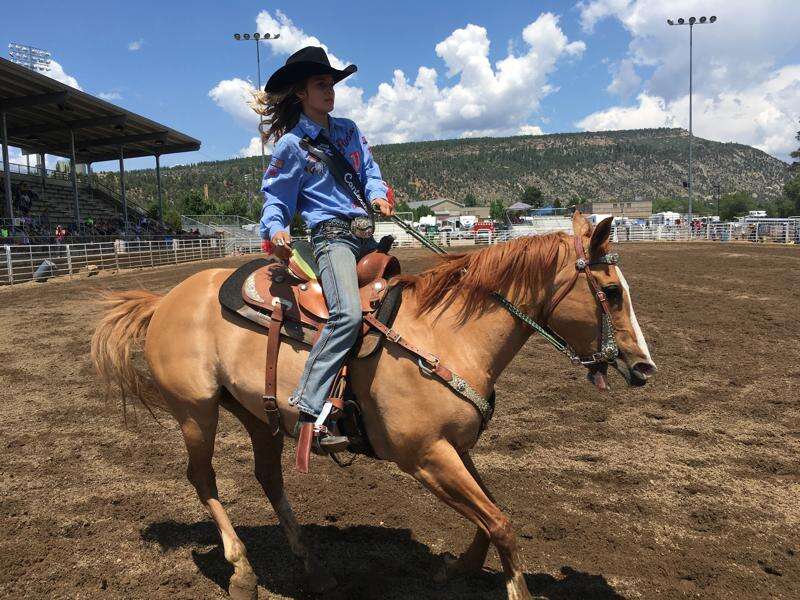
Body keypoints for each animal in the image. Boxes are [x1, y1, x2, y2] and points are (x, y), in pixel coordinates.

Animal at [92, 212, 656, 600]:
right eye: (610, 291)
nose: (644, 367)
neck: (448, 335)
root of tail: (164, 301)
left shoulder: (455, 447)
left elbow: (491, 515)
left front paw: (456, 568)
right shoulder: (426, 456)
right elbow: (500, 523)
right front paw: (514, 588)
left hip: (258, 414)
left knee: (268, 477)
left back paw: (313, 569)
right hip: (196, 411)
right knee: (202, 477)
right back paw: (242, 571)